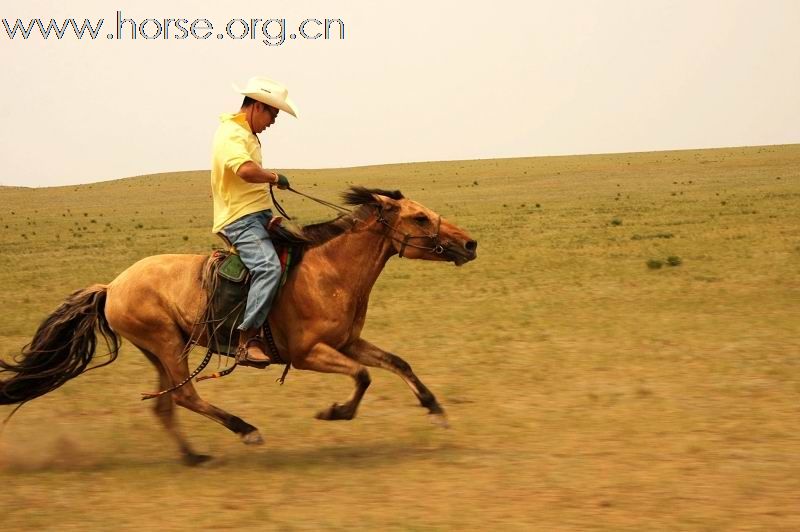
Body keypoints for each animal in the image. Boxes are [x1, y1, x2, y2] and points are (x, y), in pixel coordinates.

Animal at [0, 187, 476, 466]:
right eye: (419, 218)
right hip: (166, 342)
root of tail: (112, 285)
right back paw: (246, 430)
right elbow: (363, 377)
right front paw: (335, 412)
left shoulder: (348, 342)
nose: (469, 243)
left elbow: (397, 362)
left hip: (163, 349)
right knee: (187, 396)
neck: (329, 271)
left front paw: (435, 410)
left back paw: (193, 456)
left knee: (166, 404)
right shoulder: (308, 354)